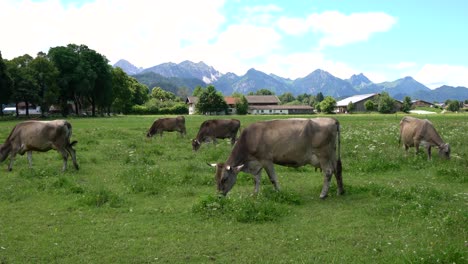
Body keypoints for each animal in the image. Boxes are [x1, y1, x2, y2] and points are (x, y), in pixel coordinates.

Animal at [209, 118, 344, 199]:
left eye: (224, 179)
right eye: (215, 179)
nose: (219, 196)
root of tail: (332, 119)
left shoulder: (266, 160)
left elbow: (272, 178)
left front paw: (279, 192)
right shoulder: (256, 163)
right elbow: (256, 179)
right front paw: (255, 194)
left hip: (323, 154)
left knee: (328, 172)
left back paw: (323, 194)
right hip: (332, 153)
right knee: (337, 169)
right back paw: (340, 191)